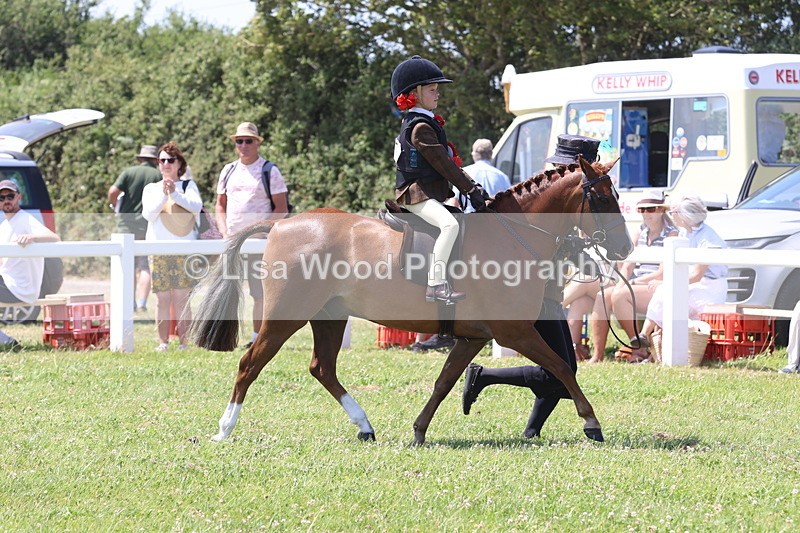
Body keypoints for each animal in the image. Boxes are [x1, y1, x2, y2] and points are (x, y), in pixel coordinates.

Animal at [190, 156, 633, 444]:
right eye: (602, 198)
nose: (626, 248)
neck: (511, 233)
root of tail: (280, 225)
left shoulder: (472, 337)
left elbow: (444, 382)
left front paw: (419, 431)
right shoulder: (515, 332)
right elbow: (560, 367)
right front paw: (592, 423)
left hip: (329, 317)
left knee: (322, 368)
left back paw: (365, 426)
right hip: (286, 316)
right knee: (250, 364)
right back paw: (224, 430)